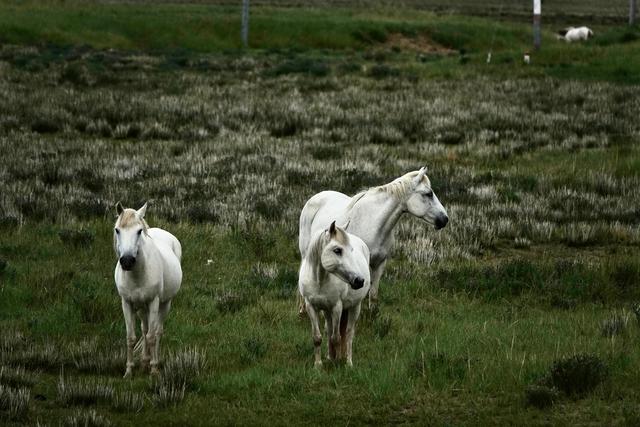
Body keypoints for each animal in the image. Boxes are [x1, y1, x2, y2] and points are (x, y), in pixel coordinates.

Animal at [112, 202, 181, 376]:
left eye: (139, 231)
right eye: (117, 230)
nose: (127, 261)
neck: (137, 275)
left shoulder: (153, 302)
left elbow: (151, 336)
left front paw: (154, 370)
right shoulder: (127, 303)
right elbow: (131, 337)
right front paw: (129, 371)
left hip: (164, 303)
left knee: (157, 331)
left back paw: (152, 362)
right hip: (142, 308)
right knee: (144, 329)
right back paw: (144, 362)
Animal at [298, 166, 448, 310]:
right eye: (428, 194)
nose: (445, 219)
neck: (374, 224)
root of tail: (317, 196)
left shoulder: (379, 264)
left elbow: (374, 294)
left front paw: (373, 315)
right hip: (306, 254)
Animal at [298, 221, 370, 368]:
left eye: (351, 250)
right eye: (337, 250)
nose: (359, 281)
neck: (319, 280)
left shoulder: (337, 308)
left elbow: (336, 338)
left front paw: (337, 364)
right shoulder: (311, 307)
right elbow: (317, 337)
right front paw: (318, 365)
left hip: (355, 307)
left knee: (349, 334)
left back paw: (348, 362)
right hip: (327, 311)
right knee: (329, 330)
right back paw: (330, 357)